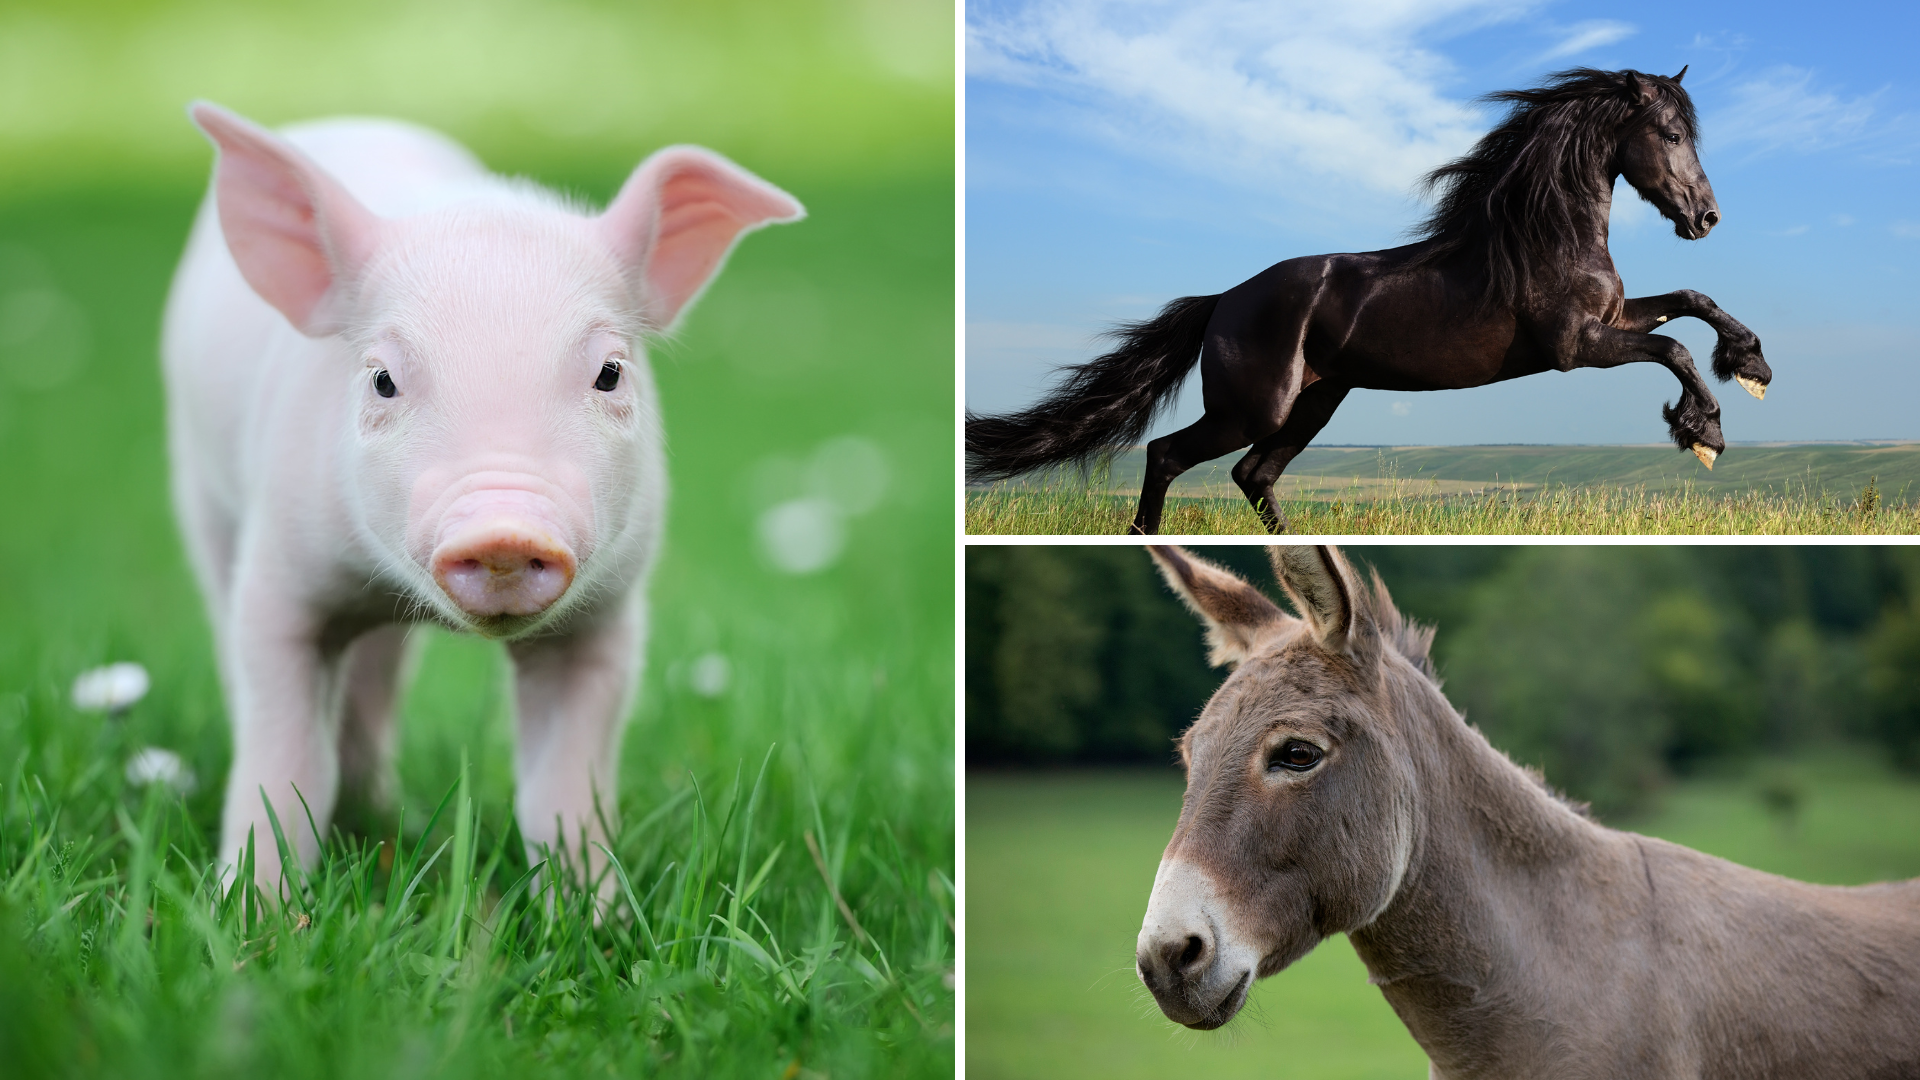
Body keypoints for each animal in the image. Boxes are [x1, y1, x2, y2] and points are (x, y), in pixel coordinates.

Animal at [161, 102, 803, 891]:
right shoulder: (281, 577)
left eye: (611, 372)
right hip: (200, 492)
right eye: (382, 379)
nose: (504, 532)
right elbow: (283, 765)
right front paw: (253, 909)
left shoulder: (606, 617)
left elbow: (562, 791)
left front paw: (593, 912)